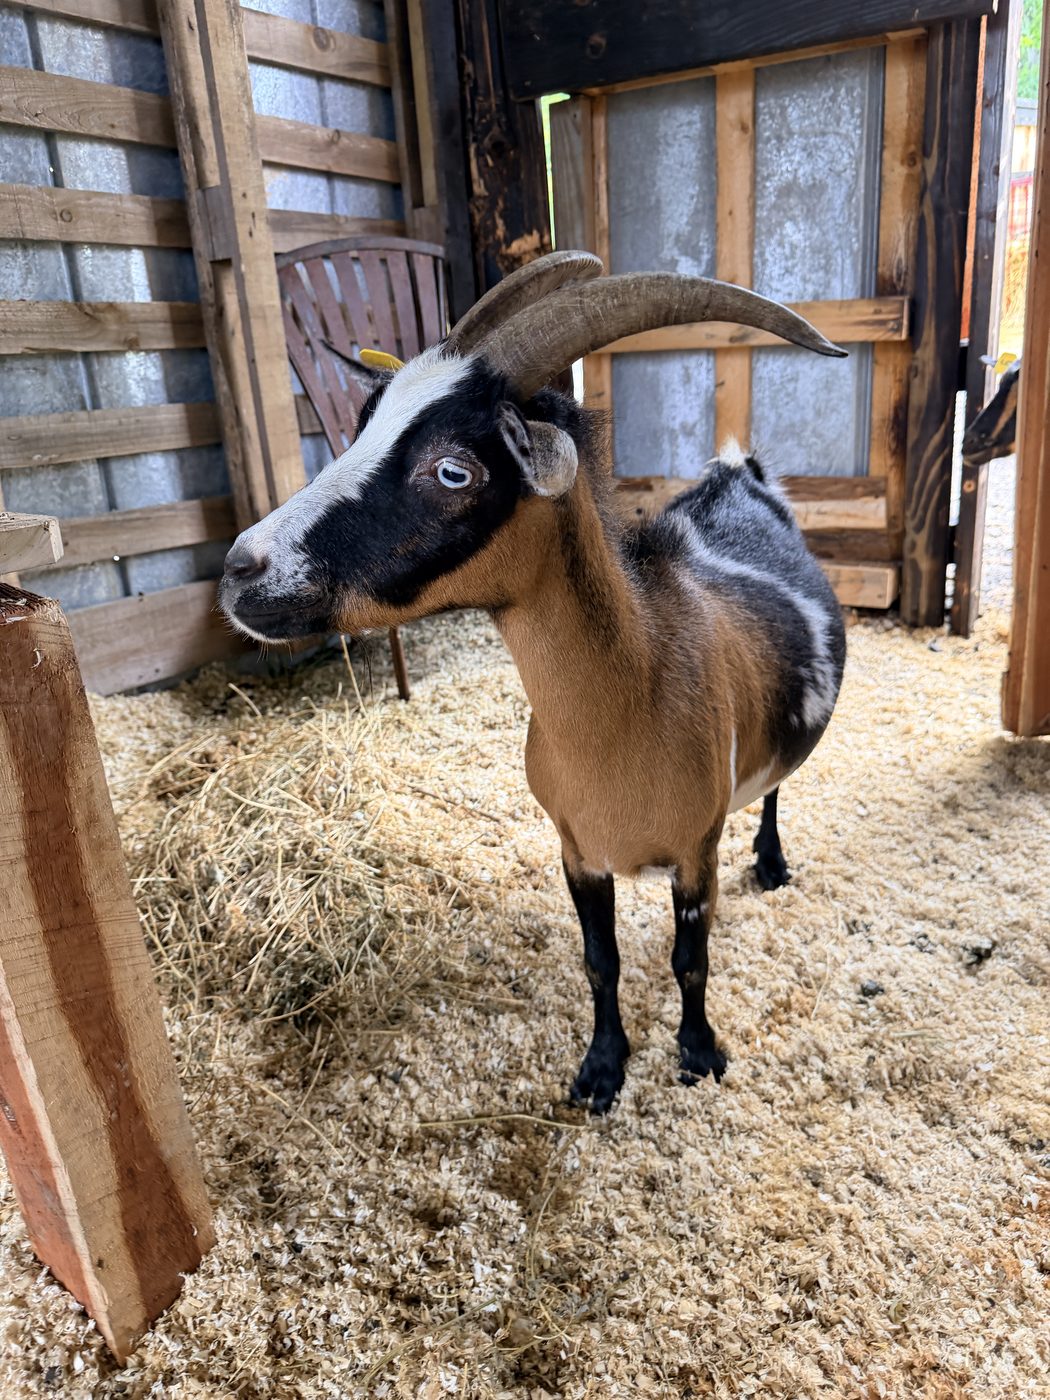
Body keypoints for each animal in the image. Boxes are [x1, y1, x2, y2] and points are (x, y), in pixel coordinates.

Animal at [221, 252, 847, 1112]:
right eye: (361, 427)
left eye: (453, 469)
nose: (240, 569)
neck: (631, 705)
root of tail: (737, 476)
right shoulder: (576, 848)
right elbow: (600, 962)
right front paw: (601, 1070)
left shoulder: (697, 849)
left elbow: (690, 960)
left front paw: (698, 1052)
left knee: (780, 785)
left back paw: (775, 862)